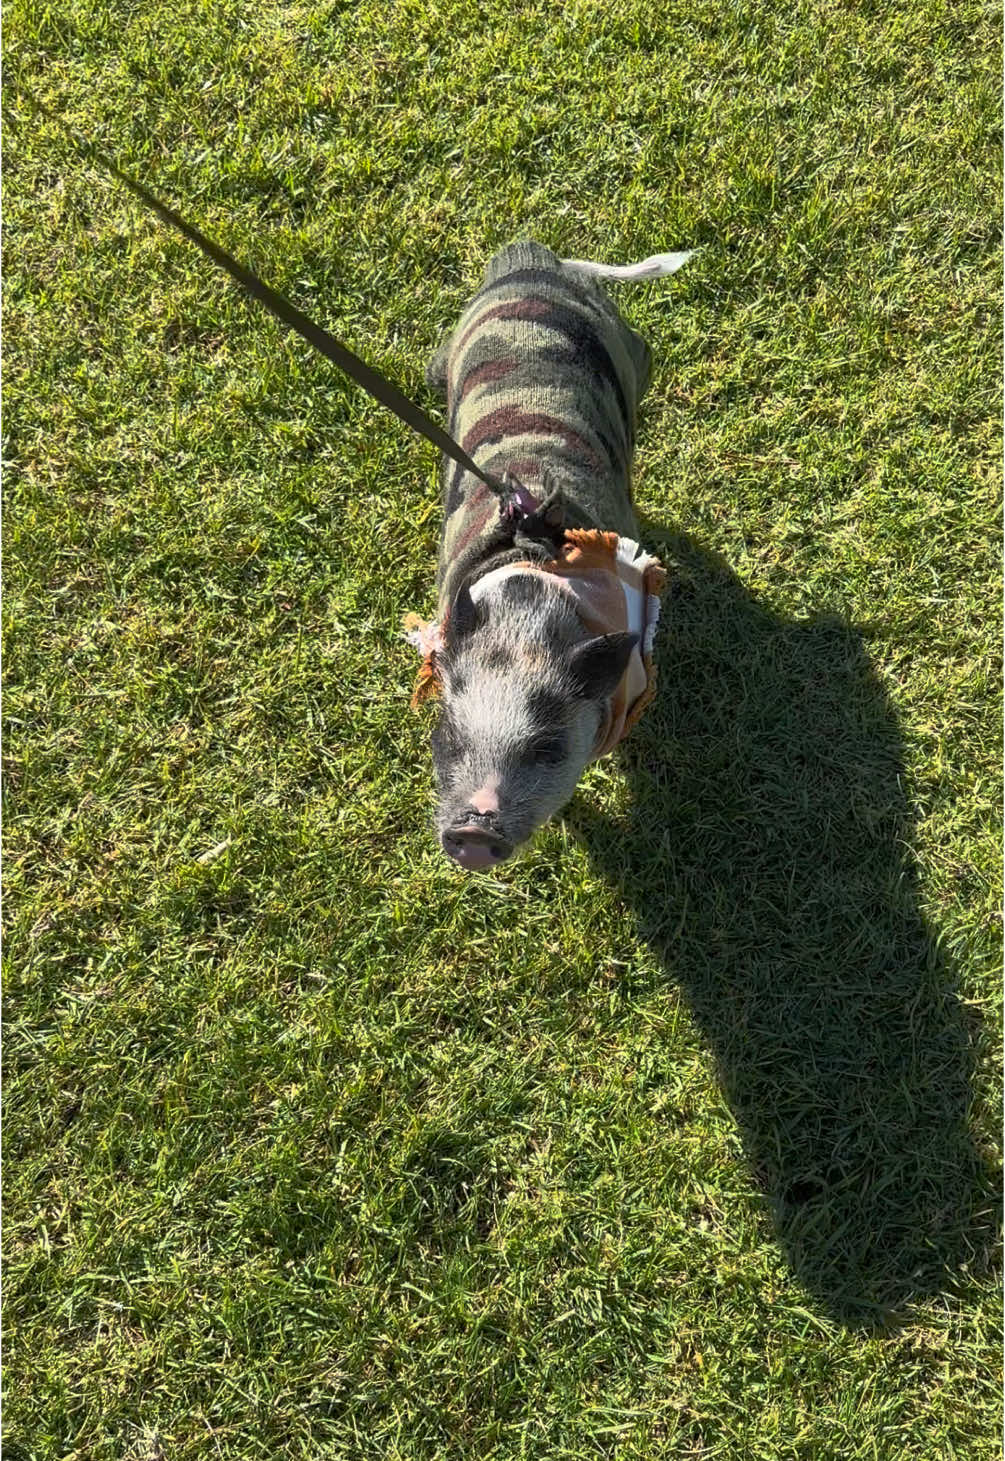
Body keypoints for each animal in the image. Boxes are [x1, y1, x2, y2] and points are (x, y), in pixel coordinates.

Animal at [417, 240, 690, 869]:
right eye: (450, 739)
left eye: (546, 747)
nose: (473, 832)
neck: (526, 619)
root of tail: (534, 258)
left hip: (635, 355)